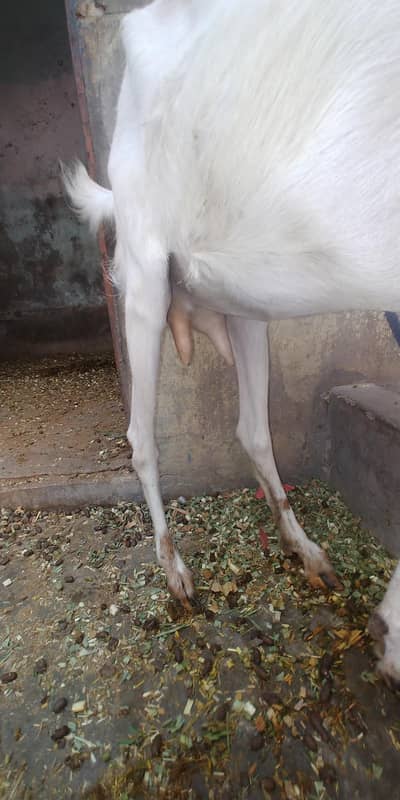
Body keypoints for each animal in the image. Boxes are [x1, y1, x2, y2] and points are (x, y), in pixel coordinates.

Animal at [64, 0, 400, 688]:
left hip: (246, 302)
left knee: (252, 427)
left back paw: (306, 550)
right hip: (144, 272)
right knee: (142, 438)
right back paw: (175, 574)